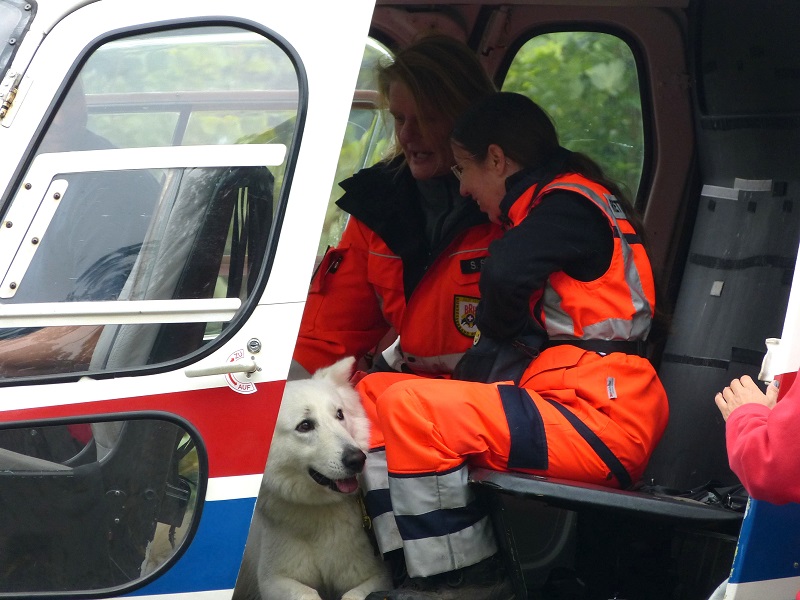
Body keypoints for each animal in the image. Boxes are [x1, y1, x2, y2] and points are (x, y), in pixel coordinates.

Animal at [233, 356, 392, 600]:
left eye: (339, 414)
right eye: (305, 425)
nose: (357, 459)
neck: (320, 508)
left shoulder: (378, 576)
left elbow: (352, 595)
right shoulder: (274, 579)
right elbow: (306, 593)